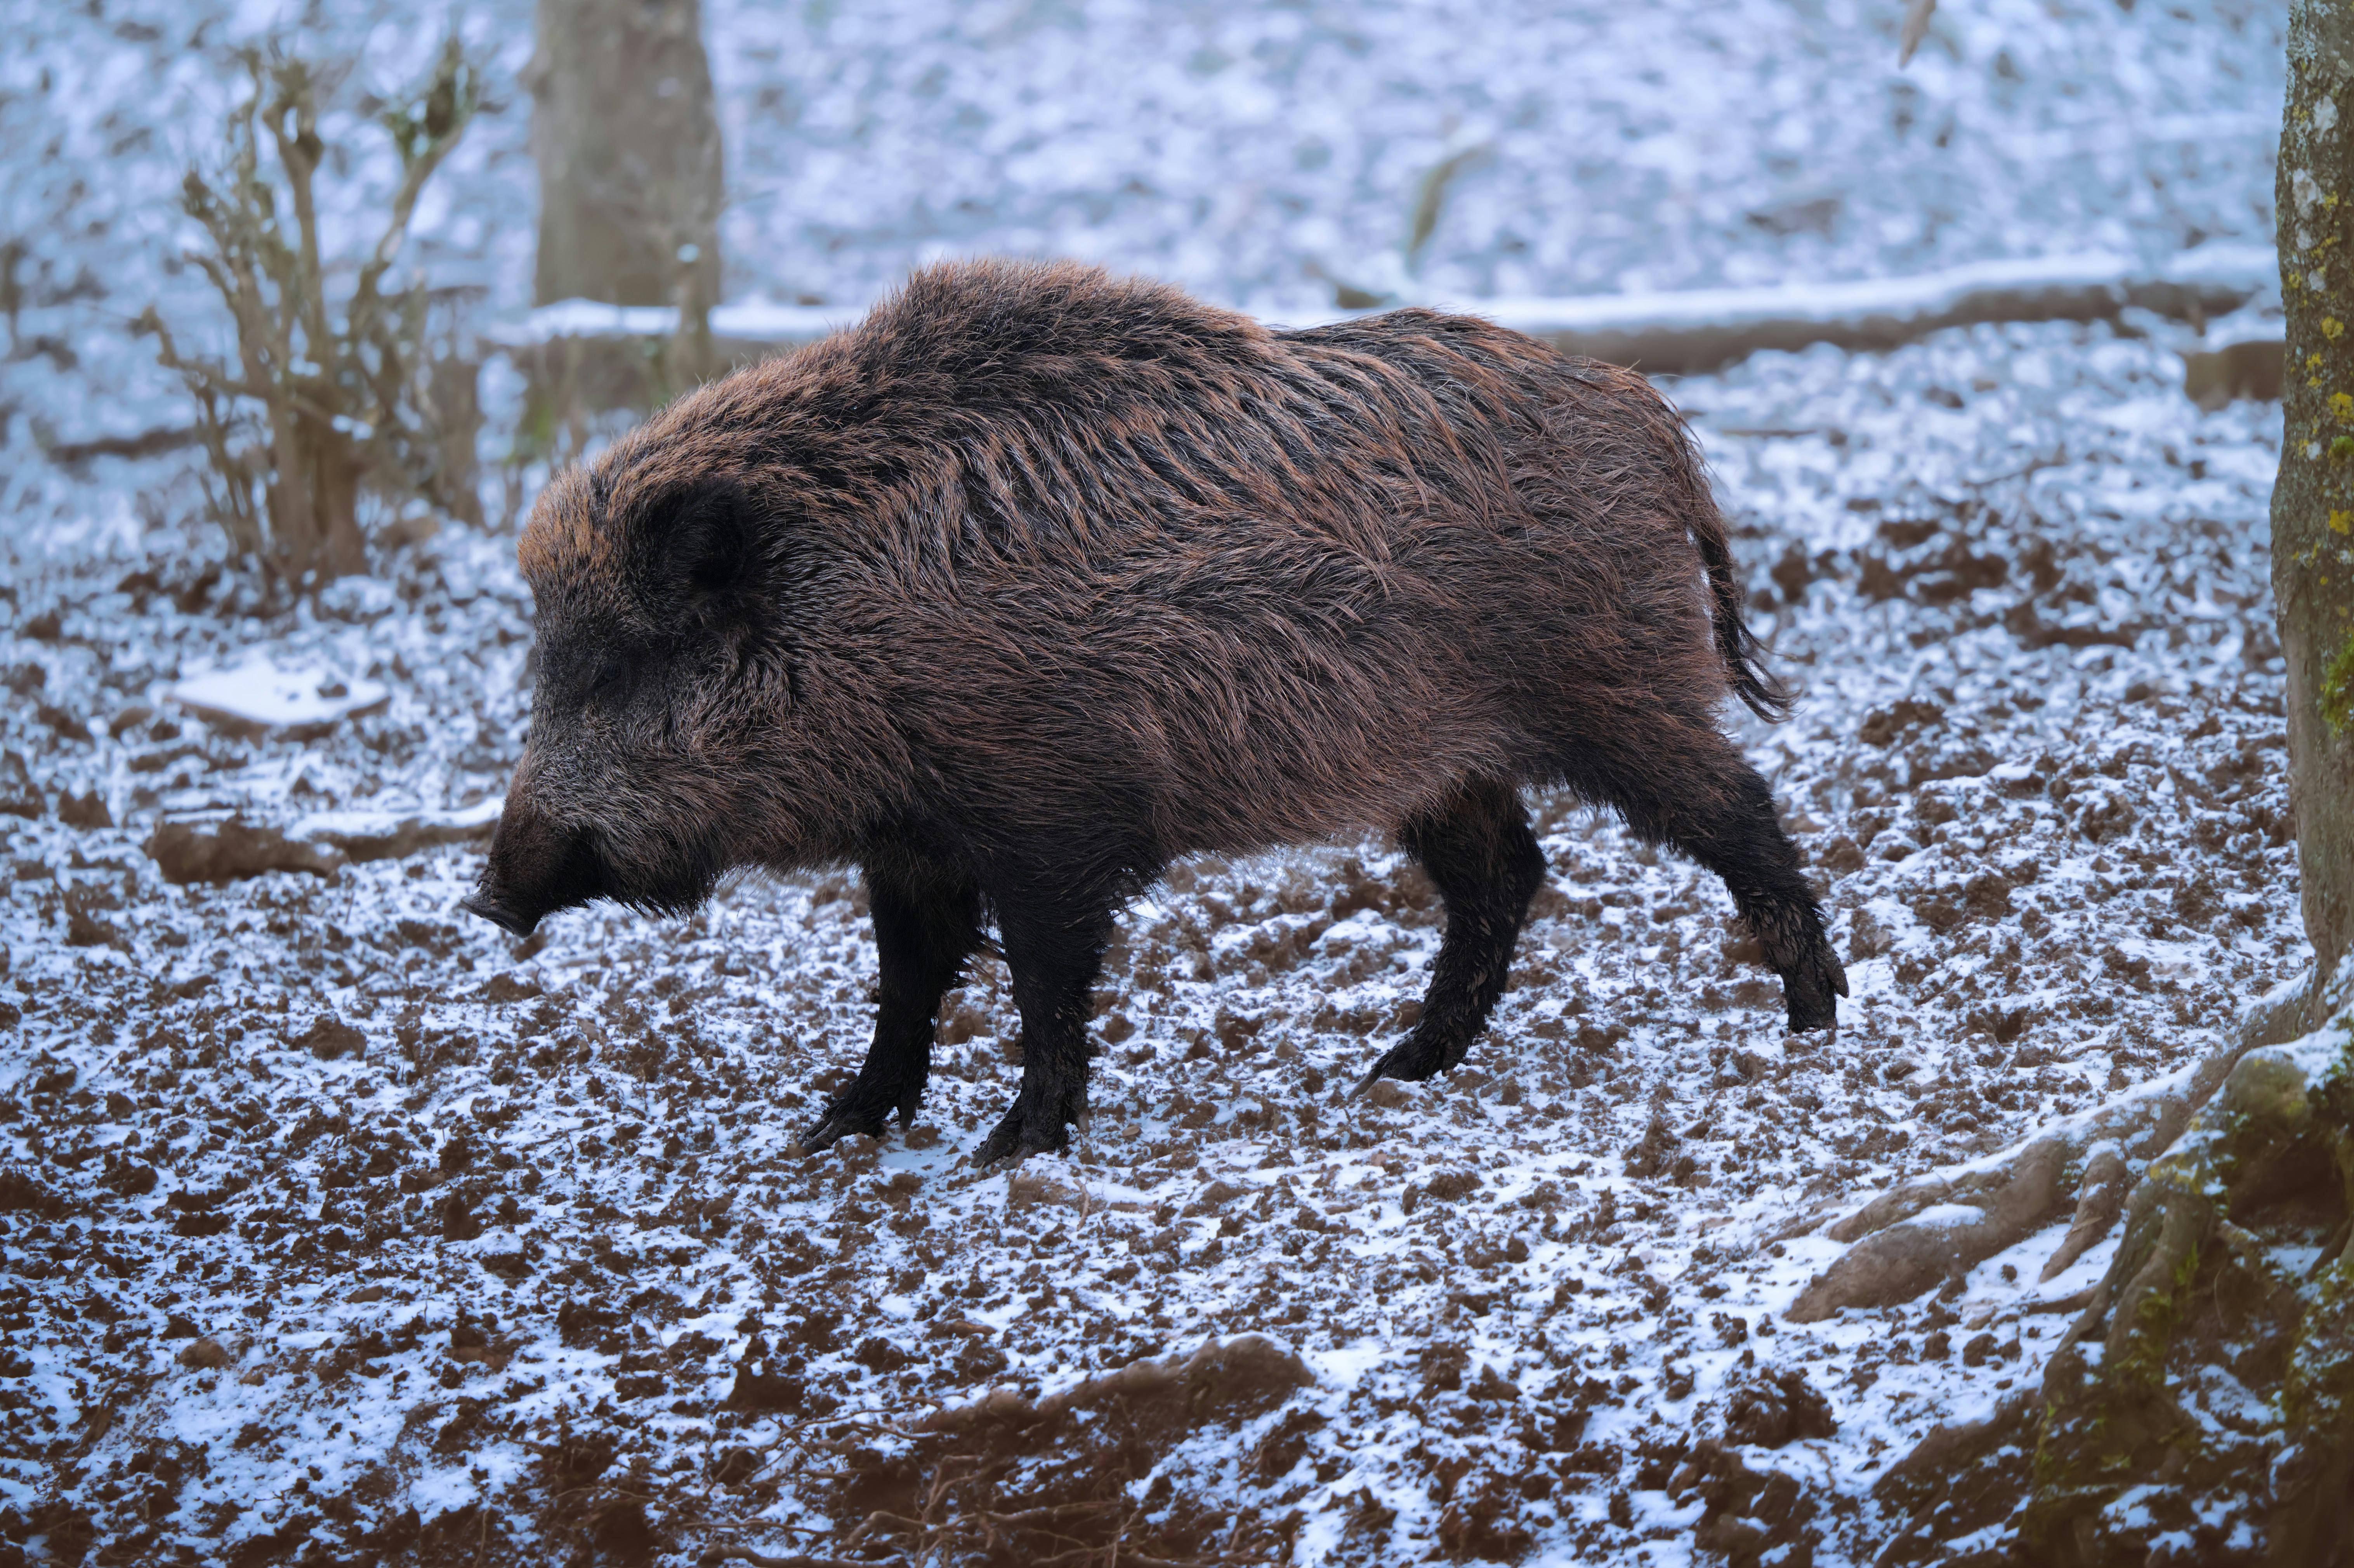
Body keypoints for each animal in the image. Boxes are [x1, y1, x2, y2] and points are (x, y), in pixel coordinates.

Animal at [462, 257, 1846, 1164]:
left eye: (615, 669)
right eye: (553, 666)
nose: (489, 893)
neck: (854, 614)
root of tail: (1649, 416)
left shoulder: (1046, 814)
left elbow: (1041, 981)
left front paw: (1009, 1147)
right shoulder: (911, 836)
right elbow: (905, 979)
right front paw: (833, 1126)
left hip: (1615, 689)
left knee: (1734, 806)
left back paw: (1814, 1018)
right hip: (1439, 758)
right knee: (1504, 874)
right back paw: (1393, 1070)